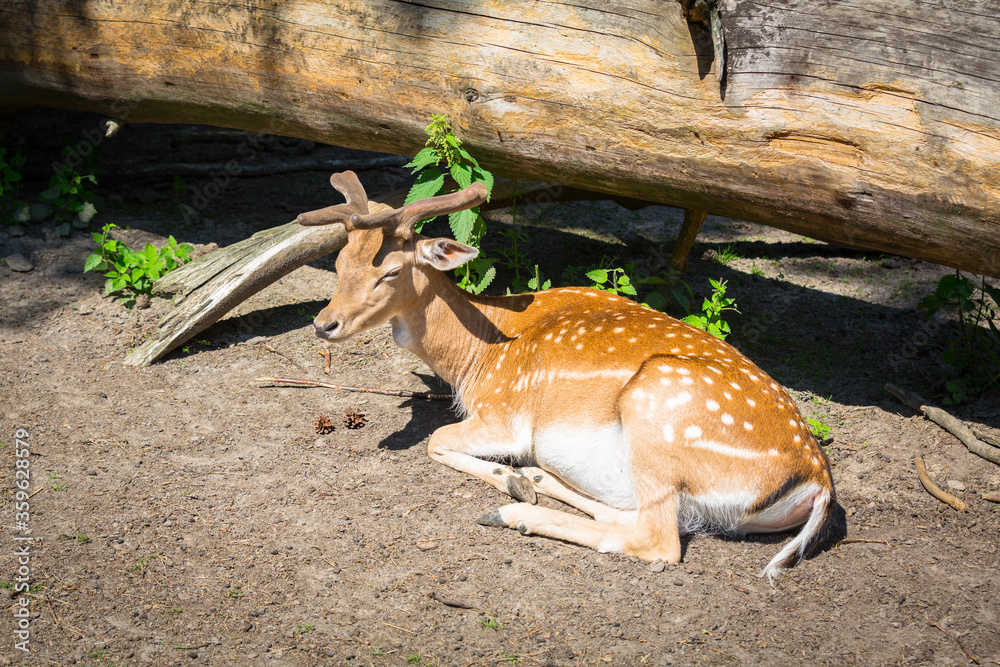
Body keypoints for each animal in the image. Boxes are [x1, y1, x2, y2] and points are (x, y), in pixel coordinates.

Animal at [296, 171, 836, 580]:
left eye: (389, 272)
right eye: (339, 261)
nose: (324, 323)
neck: (477, 358)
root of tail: (817, 483)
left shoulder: (505, 415)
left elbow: (435, 440)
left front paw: (507, 481)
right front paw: (517, 478)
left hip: (658, 405)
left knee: (659, 540)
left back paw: (515, 509)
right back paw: (535, 479)